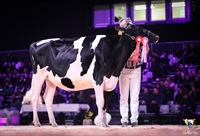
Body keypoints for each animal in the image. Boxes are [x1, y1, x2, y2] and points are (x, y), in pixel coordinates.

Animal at [22, 23, 159, 127]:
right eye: (137, 29)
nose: (156, 36)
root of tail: (35, 43)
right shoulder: (98, 79)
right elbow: (100, 102)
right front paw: (101, 125)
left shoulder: (108, 82)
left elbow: (105, 104)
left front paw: (106, 124)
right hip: (38, 75)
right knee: (35, 97)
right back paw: (37, 123)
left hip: (51, 79)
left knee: (48, 98)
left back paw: (54, 124)